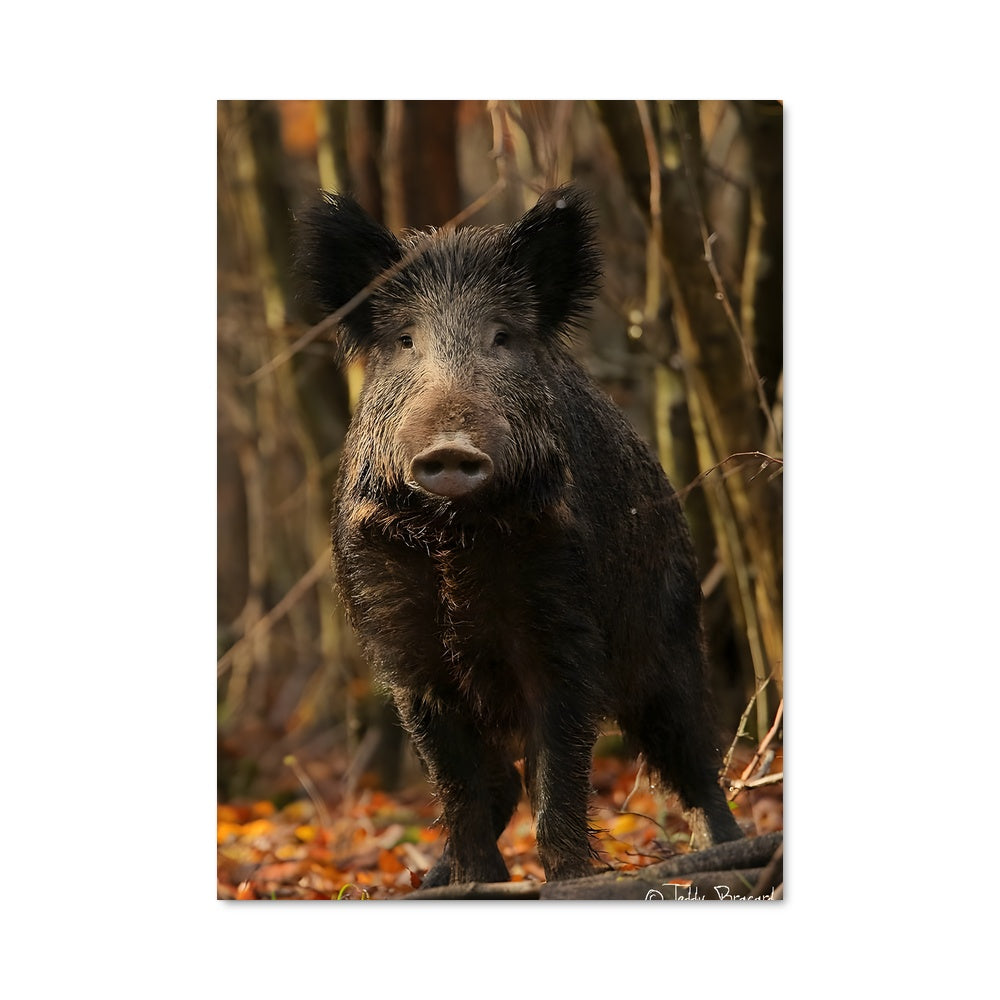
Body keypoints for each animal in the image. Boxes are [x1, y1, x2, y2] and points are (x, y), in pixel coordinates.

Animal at [295, 185, 744, 887]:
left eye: (501, 337)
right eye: (404, 340)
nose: (450, 447)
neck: (456, 540)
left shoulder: (564, 624)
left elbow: (558, 773)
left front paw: (572, 881)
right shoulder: (404, 648)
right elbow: (459, 783)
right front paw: (475, 882)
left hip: (671, 627)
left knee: (692, 752)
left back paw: (723, 855)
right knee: (500, 779)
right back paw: (433, 879)